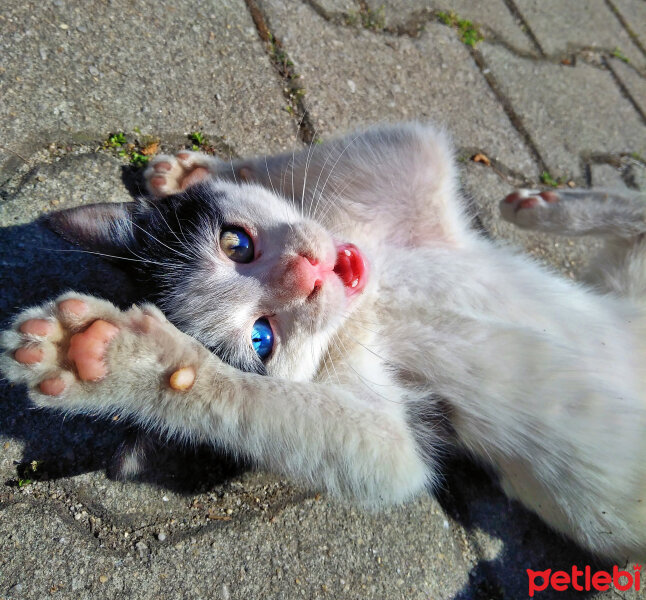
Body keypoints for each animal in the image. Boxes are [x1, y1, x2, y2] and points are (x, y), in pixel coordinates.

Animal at [1, 123, 646, 556]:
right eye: (262, 337)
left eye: (236, 244)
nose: (307, 275)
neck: (376, 300)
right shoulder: (394, 430)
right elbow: (375, 452)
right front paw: (109, 360)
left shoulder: (410, 201)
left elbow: (406, 145)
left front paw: (197, 173)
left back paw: (544, 204)